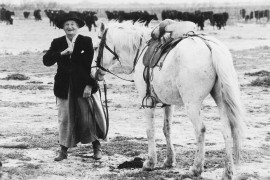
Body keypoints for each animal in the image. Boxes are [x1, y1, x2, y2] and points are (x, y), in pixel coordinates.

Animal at [96, 22, 246, 180]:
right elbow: (166, 129)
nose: (96, 72)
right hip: (220, 100)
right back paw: (228, 172)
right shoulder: (168, 104)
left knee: (200, 130)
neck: (141, 50)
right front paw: (169, 160)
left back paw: (196, 168)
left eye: (97, 46)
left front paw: (150, 162)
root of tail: (208, 45)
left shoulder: (147, 102)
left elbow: (150, 130)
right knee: (227, 130)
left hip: (192, 105)